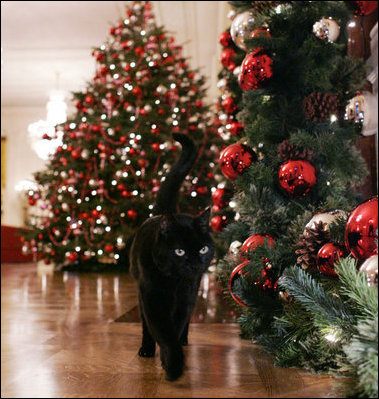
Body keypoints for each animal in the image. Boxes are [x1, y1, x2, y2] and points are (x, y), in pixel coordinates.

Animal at [130, 134, 214, 382]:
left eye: (203, 249)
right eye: (179, 251)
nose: (195, 264)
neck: (173, 282)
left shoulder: (186, 296)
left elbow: (175, 327)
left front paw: (172, 359)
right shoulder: (151, 296)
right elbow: (161, 330)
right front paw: (173, 366)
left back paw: (183, 340)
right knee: (145, 325)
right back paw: (147, 349)